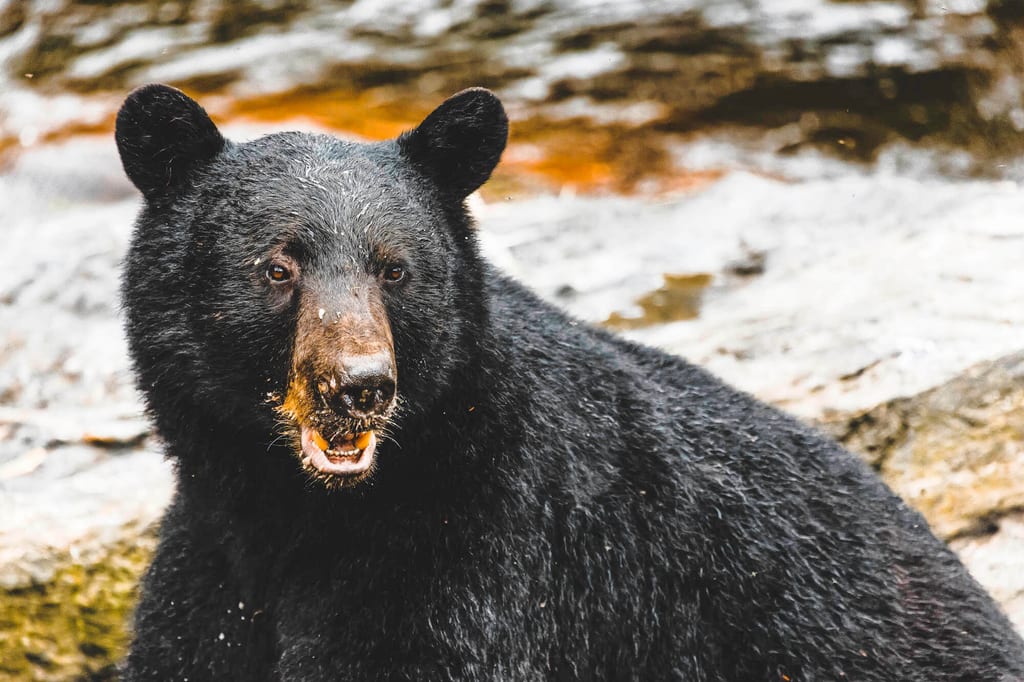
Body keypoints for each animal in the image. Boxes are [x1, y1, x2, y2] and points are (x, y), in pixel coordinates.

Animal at [115, 83, 1024, 681]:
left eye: (396, 269)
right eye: (278, 266)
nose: (359, 385)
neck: (296, 514)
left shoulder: (484, 561)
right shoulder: (211, 571)